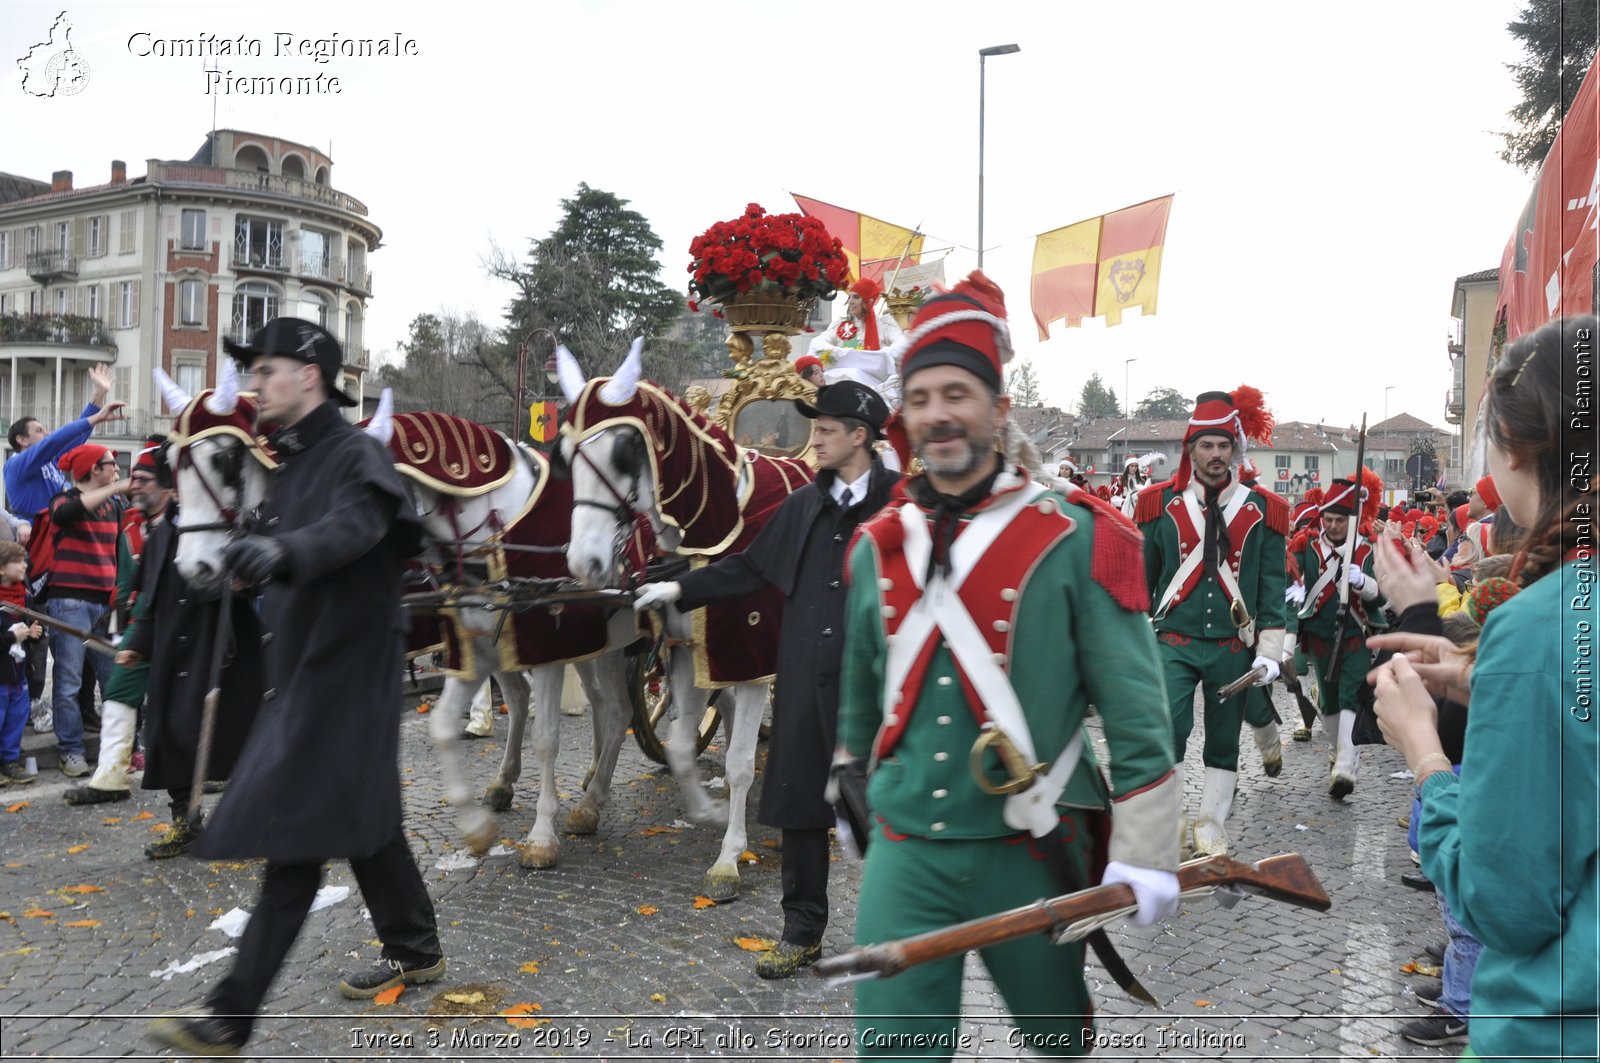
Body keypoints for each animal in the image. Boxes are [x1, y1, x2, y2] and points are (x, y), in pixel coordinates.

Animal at [563, 340, 812, 896]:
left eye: (623, 453)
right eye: (566, 458)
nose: (585, 564)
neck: (717, 534)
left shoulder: (749, 661)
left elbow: (739, 763)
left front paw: (729, 857)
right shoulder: (688, 655)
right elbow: (679, 748)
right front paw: (710, 812)